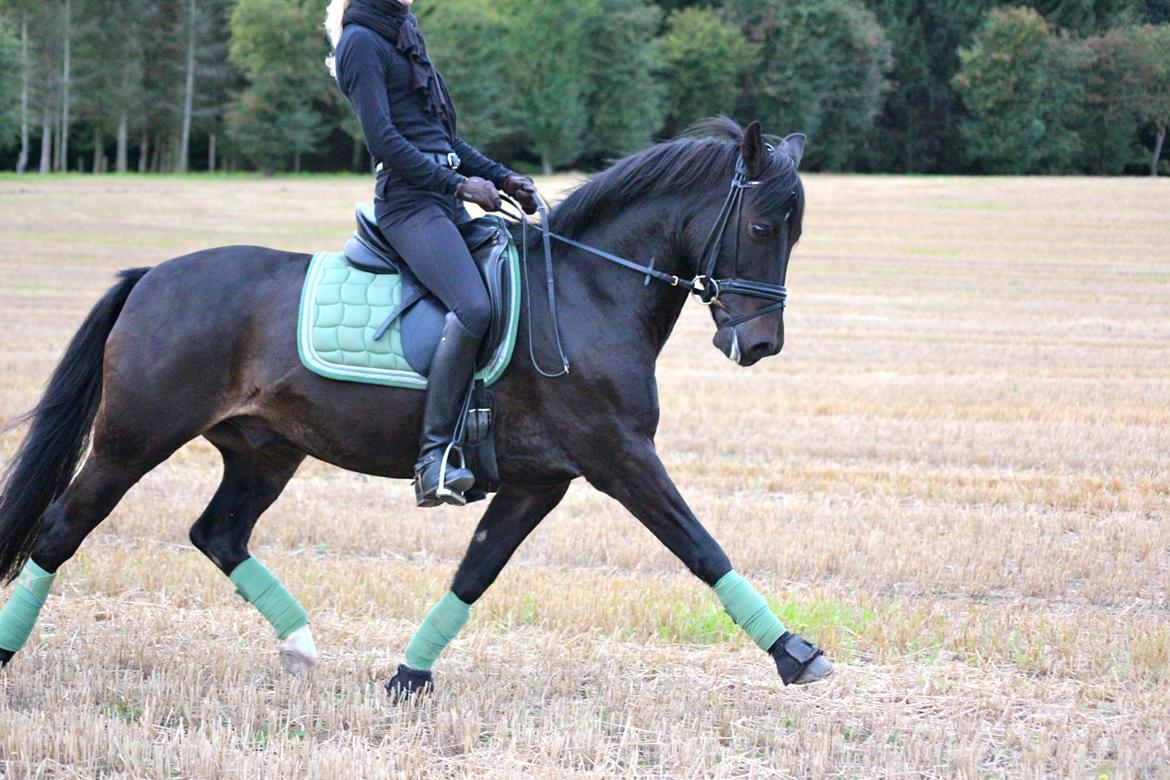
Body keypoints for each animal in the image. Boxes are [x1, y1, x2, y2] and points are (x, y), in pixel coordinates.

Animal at [0, 119, 833, 694]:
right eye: (762, 225)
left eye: (794, 234)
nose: (762, 344)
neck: (586, 293)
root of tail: (149, 276)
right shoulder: (620, 456)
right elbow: (701, 547)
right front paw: (796, 654)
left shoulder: (540, 481)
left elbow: (476, 571)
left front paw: (408, 676)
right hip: (132, 441)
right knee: (61, 528)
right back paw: (9, 651)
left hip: (264, 449)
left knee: (218, 534)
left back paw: (300, 644)